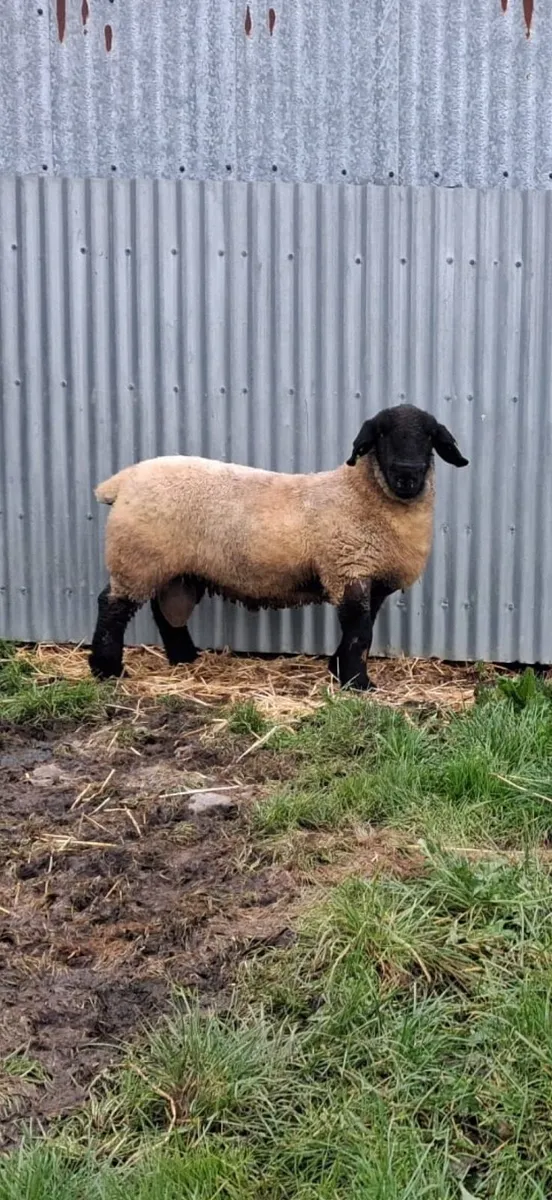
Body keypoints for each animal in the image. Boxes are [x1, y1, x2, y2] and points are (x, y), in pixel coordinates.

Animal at [88, 404, 468, 691]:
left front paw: (338, 670)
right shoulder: (347, 568)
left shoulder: (366, 577)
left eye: (430, 436)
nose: (407, 474)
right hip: (136, 557)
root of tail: (123, 481)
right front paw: (357, 683)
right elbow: (359, 633)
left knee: (167, 611)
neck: (360, 495)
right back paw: (107, 669)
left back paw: (184, 658)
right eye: (382, 434)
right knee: (112, 607)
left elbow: (360, 630)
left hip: (175, 568)